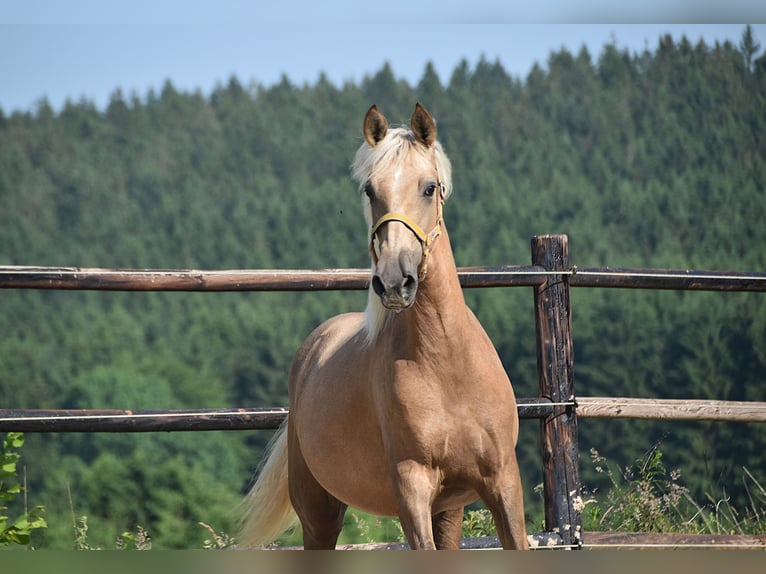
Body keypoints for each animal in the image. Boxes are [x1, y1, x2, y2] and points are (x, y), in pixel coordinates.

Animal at [239, 103, 529, 550]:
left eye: (430, 187)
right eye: (370, 191)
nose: (394, 281)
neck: (448, 366)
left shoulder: (502, 482)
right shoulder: (411, 487)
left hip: (449, 510)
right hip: (319, 512)